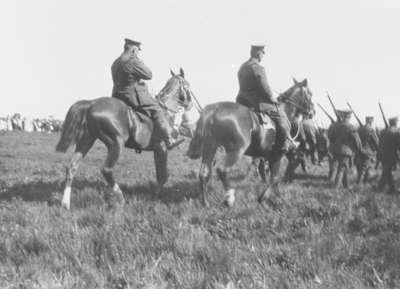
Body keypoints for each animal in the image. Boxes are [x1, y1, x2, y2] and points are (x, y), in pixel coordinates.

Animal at [55, 70, 194, 209]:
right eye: (188, 85)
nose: (190, 104)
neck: (167, 112)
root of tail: (92, 103)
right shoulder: (162, 148)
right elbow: (163, 175)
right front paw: (155, 195)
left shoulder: (157, 149)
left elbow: (161, 174)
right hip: (116, 144)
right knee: (106, 170)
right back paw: (120, 197)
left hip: (86, 141)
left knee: (72, 167)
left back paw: (65, 203)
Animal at [186, 77, 314, 206]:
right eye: (310, 94)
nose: (312, 112)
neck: (285, 111)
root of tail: (214, 110)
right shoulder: (278, 155)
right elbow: (274, 178)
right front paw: (263, 197)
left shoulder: (269, 156)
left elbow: (270, 176)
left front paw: (275, 196)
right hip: (236, 150)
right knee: (222, 170)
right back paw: (229, 197)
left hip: (210, 148)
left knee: (203, 173)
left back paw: (206, 203)